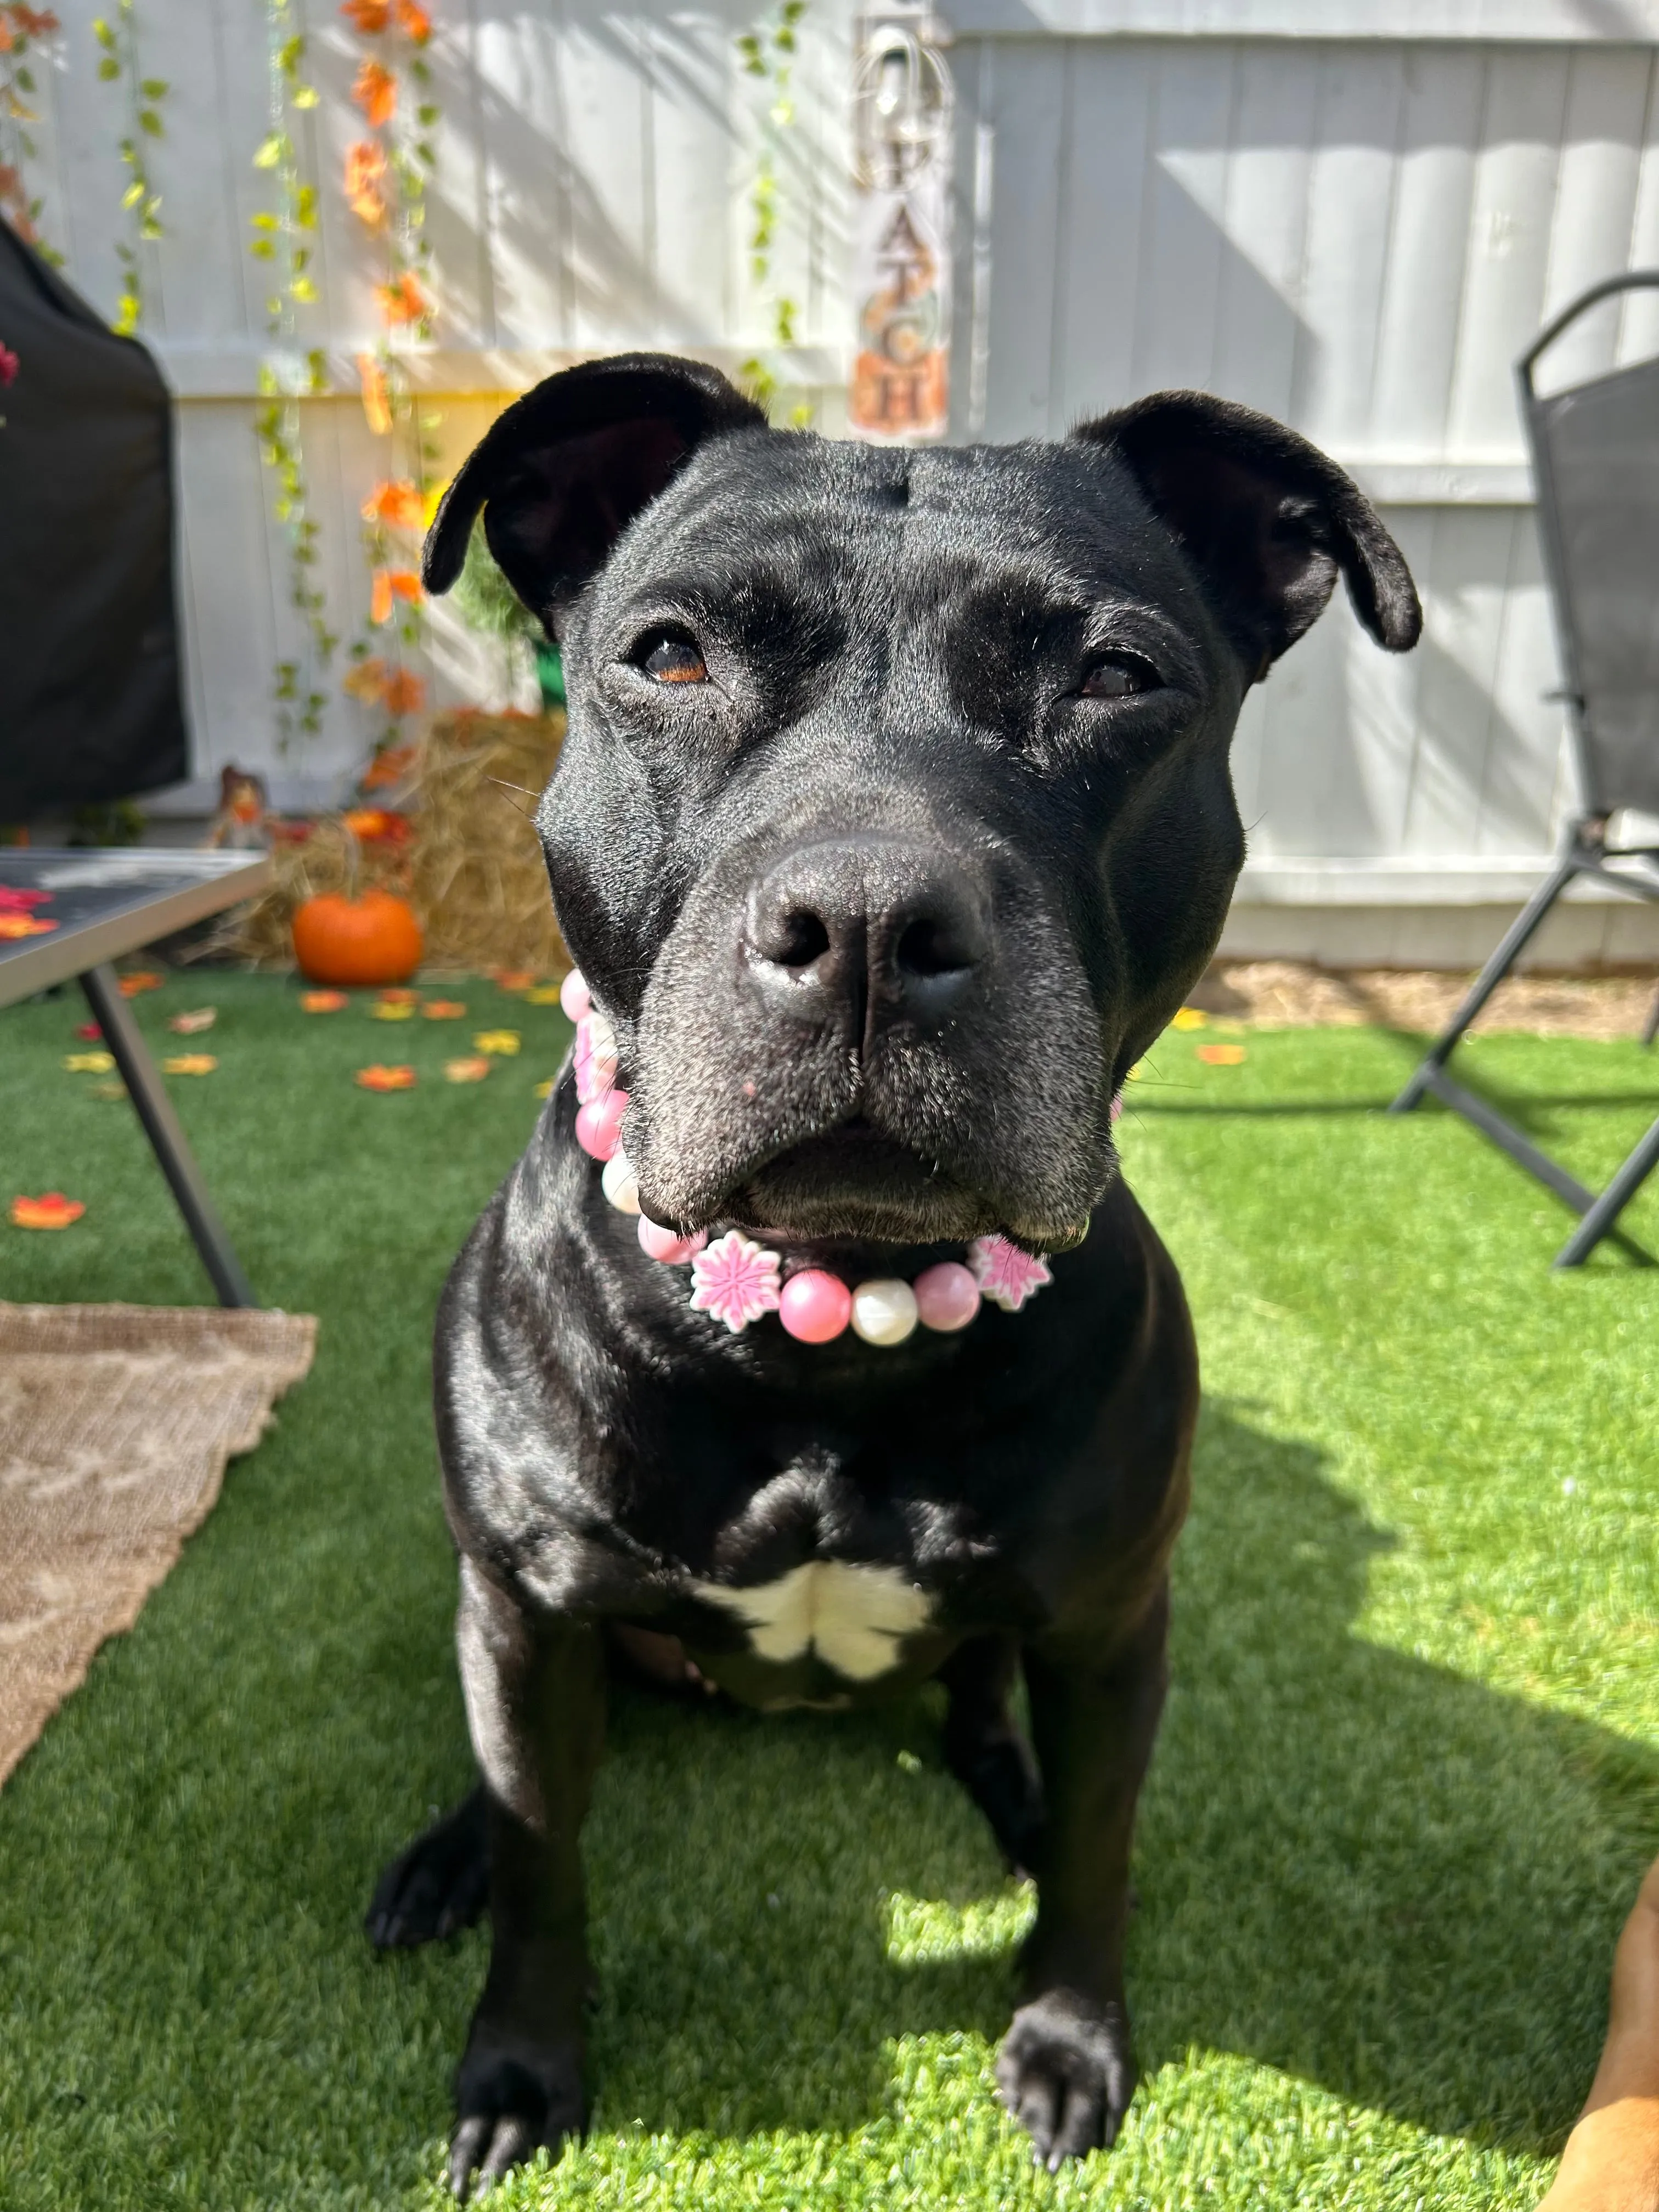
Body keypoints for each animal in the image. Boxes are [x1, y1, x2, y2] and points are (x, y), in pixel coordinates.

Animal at [369, 354, 1424, 2185]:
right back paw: (441, 1859)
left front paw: (1070, 2036)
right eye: (669, 655)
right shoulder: (531, 1614)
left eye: (1116, 676)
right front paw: (517, 2067)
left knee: (998, 1715)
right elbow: (543, 1861)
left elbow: (1100, 1853)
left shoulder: (1113, 1624)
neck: (830, 1329)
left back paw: (1005, 1790)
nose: (865, 919)